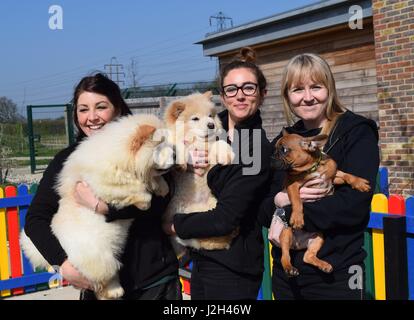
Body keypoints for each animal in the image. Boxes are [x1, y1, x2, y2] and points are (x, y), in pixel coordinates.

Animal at [20, 115, 175, 300]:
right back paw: (114, 292)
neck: (120, 157)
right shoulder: (104, 181)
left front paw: (162, 188)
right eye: (160, 148)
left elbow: (153, 179)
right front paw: (145, 202)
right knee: (101, 283)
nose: (175, 156)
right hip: (101, 259)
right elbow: (132, 186)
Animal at [163, 91, 238, 256]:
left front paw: (227, 155)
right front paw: (181, 162)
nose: (211, 125)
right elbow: (177, 145)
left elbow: (219, 143)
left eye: (210, 116)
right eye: (195, 118)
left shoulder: (212, 145)